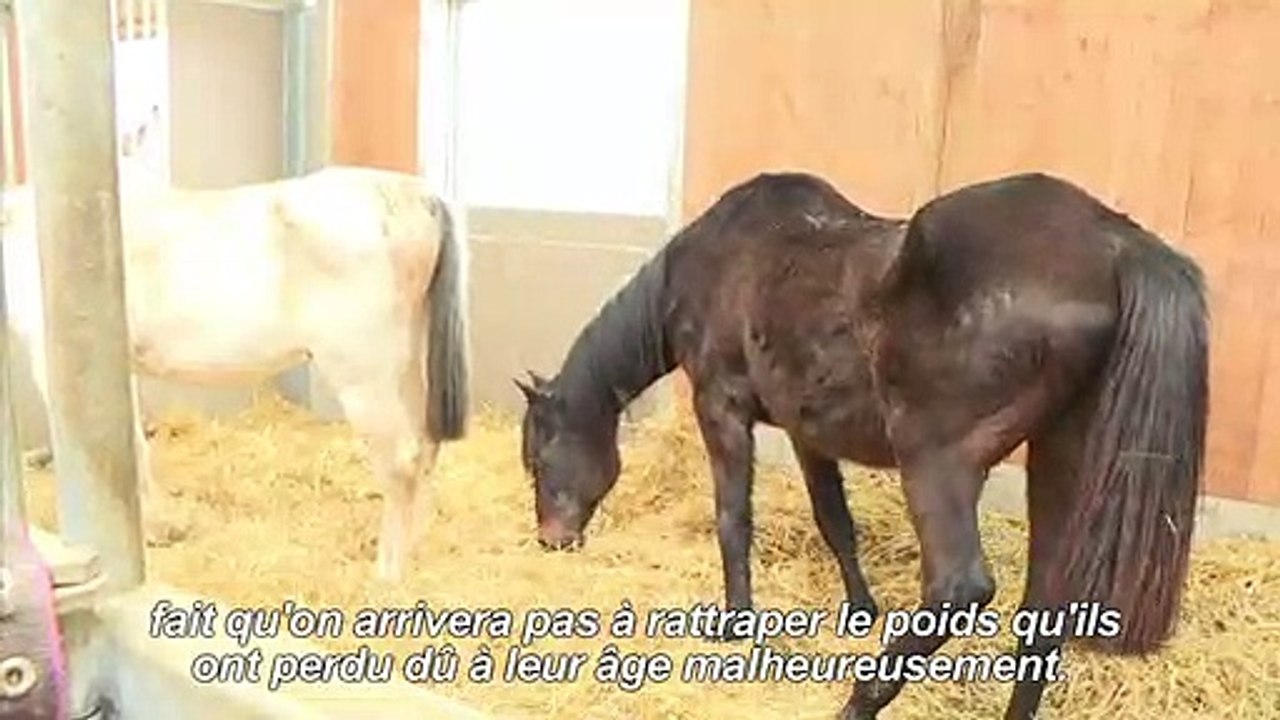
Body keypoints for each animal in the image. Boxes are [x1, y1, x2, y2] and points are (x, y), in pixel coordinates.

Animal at [1, 156, 471, 583]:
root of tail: (415, 195)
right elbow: (133, 443)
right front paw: (159, 527)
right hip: (408, 368)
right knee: (426, 447)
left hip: (364, 374)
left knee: (401, 459)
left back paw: (388, 572)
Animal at [515, 171, 1208, 719]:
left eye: (540, 458)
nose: (552, 537)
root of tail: (1113, 243)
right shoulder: (807, 431)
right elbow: (835, 521)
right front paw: (860, 609)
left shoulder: (721, 406)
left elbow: (733, 521)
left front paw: (736, 625)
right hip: (1058, 458)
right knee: (1045, 611)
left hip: (937, 463)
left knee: (959, 590)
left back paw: (860, 700)